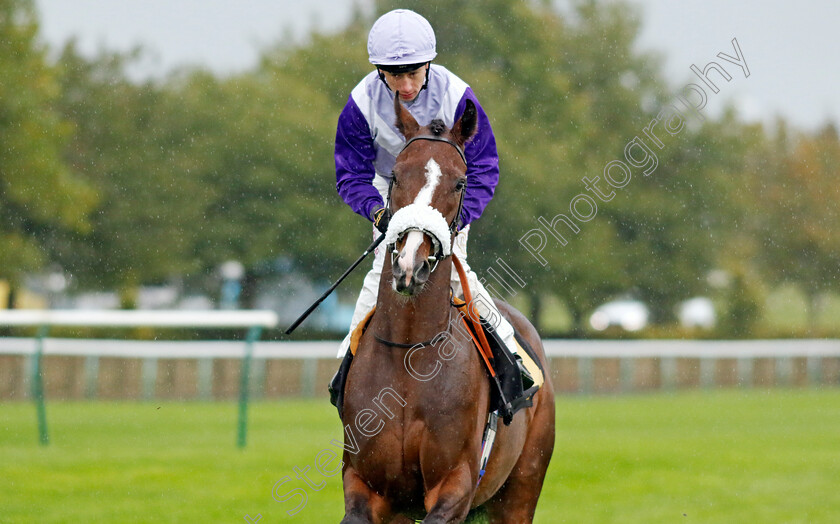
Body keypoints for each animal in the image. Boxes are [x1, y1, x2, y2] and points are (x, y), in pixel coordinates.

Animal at [338, 92, 556, 520]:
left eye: (459, 182)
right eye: (395, 175)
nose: (411, 265)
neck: (410, 352)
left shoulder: (455, 484)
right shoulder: (367, 485)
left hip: (522, 488)